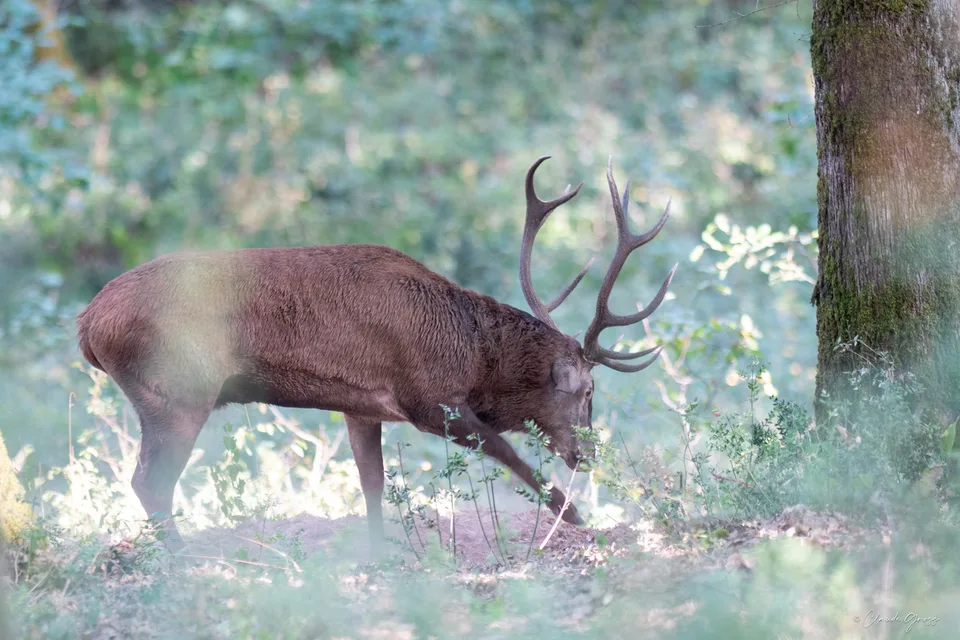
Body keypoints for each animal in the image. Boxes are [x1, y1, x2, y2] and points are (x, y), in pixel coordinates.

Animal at [76, 156, 676, 554]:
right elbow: (511, 456)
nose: (587, 454)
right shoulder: (428, 400)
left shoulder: (361, 405)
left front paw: (376, 552)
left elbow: (372, 482)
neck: (472, 355)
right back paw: (182, 559)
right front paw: (579, 518)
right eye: (588, 391)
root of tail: (86, 325)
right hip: (177, 390)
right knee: (150, 480)